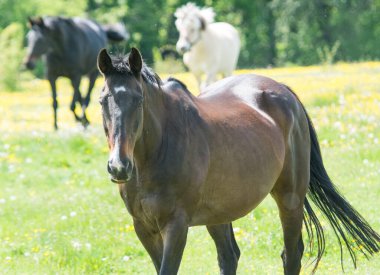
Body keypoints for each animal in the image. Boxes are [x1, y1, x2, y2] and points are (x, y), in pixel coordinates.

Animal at [96, 48, 378, 274]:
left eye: (139, 100)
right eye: (101, 101)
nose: (119, 166)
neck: (154, 156)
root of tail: (284, 91)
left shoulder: (176, 226)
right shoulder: (143, 227)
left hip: (290, 198)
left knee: (291, 255)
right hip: (218, 214)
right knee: (229, 257)